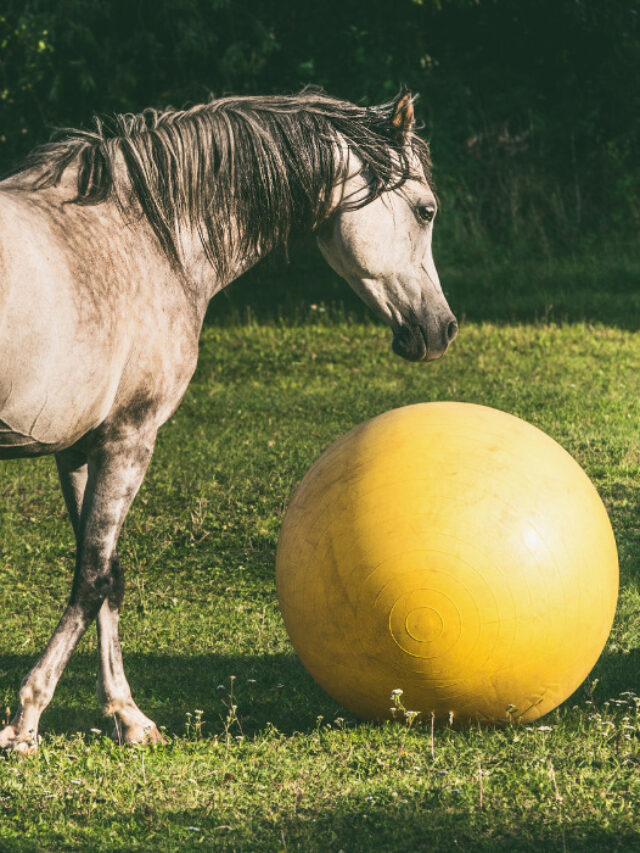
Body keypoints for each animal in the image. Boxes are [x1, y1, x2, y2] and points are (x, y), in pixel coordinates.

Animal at [0, 90, 457, 753]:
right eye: (425, 210)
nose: (441, 329)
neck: (145, 237)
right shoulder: (130, 438)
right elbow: (92, 578)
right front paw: (25, 720)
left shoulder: (83, 448)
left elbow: (108, 574)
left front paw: (128, 717)